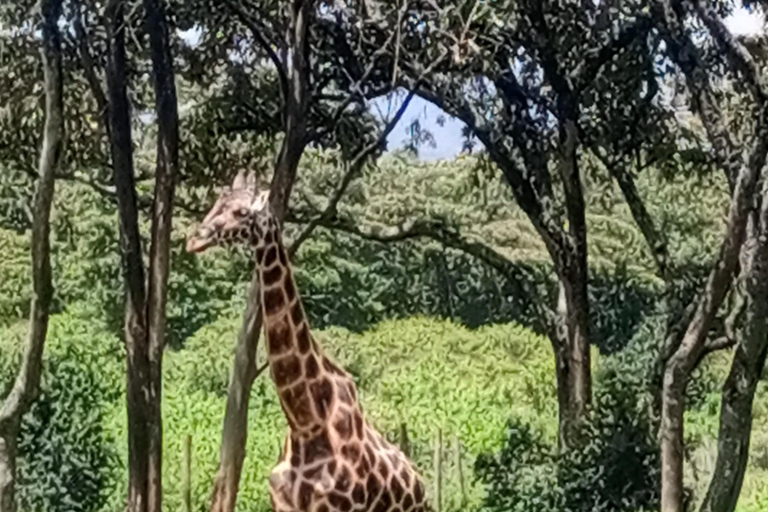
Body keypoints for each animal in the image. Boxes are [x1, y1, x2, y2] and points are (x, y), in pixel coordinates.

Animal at [184, 171, 428, 512]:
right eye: (216, 202)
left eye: (242, 212)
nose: (194, 239)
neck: (305, 421)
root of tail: (421, 485)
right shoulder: (283, 503)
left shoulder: (340, 506)